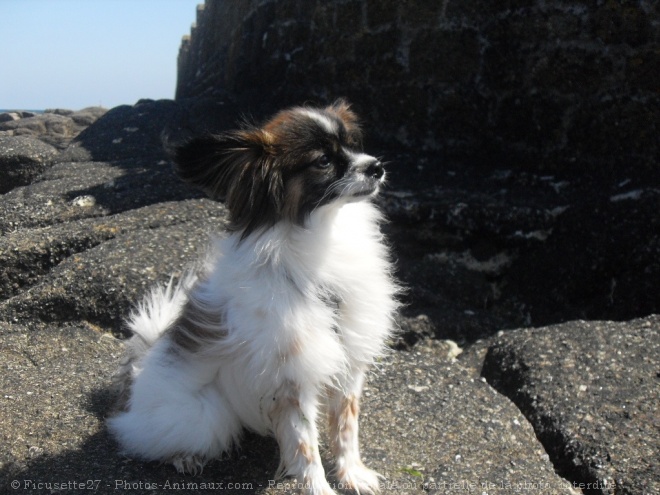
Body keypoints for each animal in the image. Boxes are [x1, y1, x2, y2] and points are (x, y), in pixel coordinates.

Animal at [109, 99, 400, 494]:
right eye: (323, 161)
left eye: (352, 146)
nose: (377, 166)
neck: (324, 234)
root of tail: (139, 372)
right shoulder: (292, 379)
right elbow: (306, 448)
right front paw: (321, 488)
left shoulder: (349, 361)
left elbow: (346, 427)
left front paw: (352, 474)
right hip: (206, 414)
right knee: (153, 439)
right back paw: (184, 457)